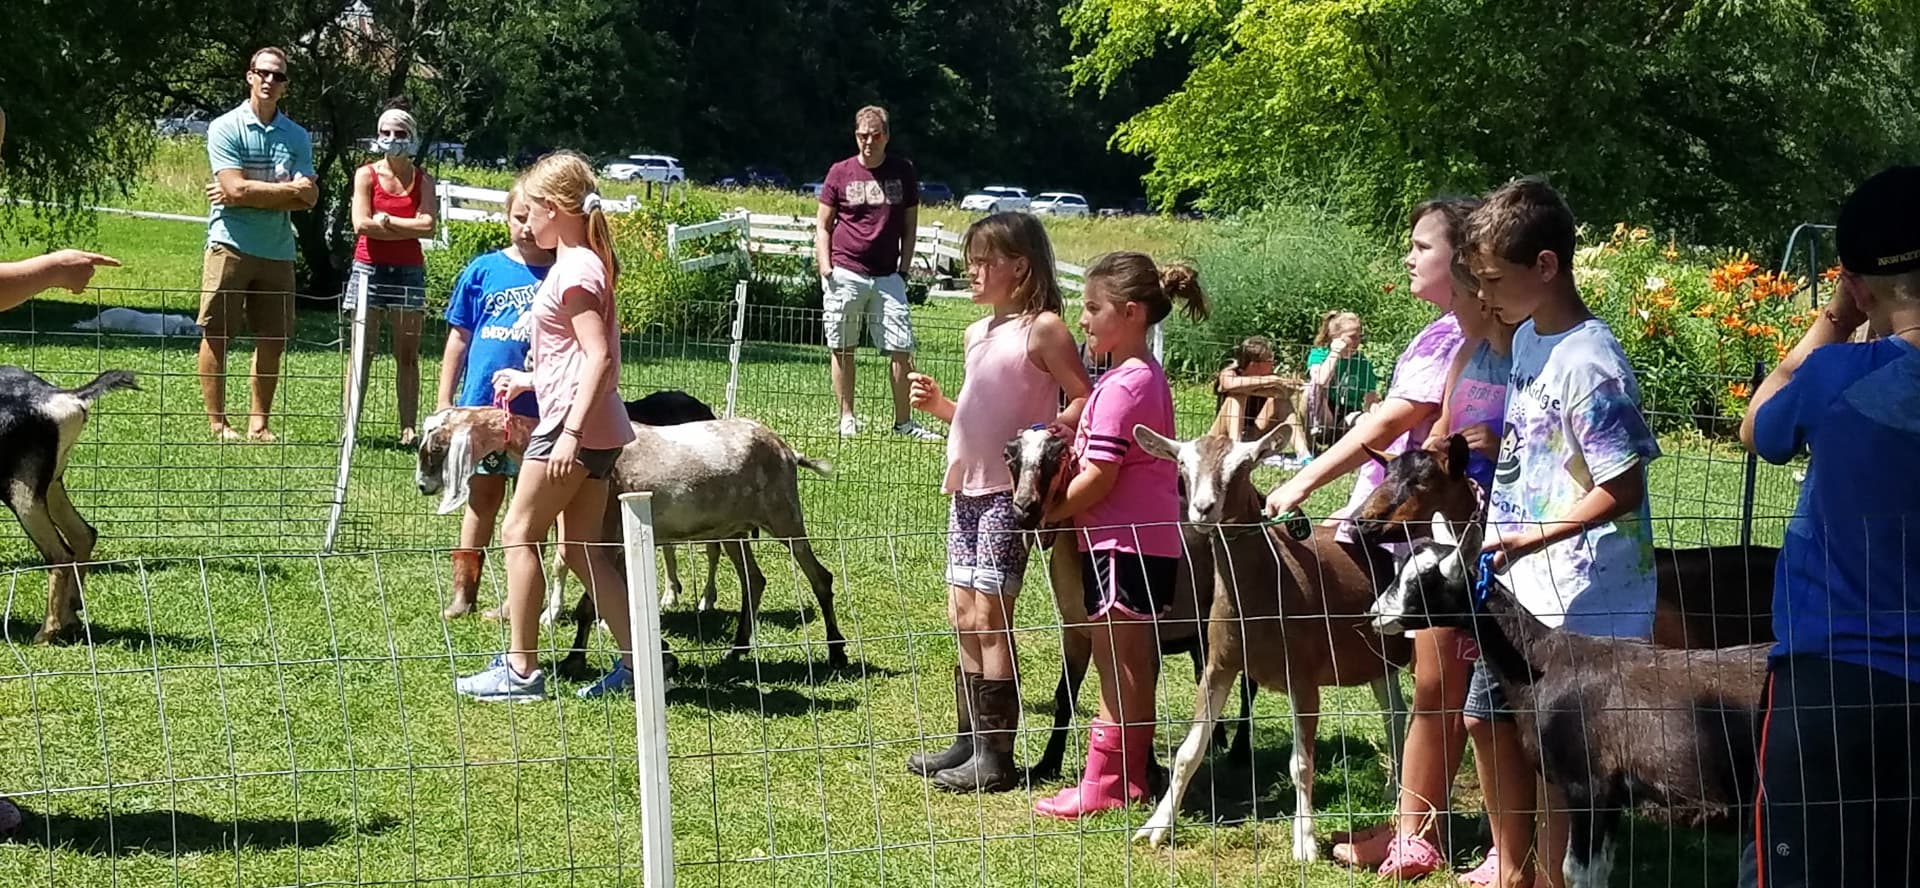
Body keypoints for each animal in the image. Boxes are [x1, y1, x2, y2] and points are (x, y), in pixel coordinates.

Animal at [0, 367, 139, 643]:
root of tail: (67, 398)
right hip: (52, 483)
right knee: (84, 533)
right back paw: (71, 616)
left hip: (23, 491)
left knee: (60, 553)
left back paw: (45, 634)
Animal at [418, 408, 846, 679]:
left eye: (435, 448)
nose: (422, 486)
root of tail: (786, 450)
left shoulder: (606, 539)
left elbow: (589, 606)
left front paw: (575, 661)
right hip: (733, 530)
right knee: (755, 580)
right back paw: (737, 651)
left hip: (783, 514)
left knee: (819, 577)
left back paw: (837, 652)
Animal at [1003, 427, 1256, 783]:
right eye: (1010, 457)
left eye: (1057, 455)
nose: (1025, 509)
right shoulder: (1075, 631)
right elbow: (1065, 695)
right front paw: (1047, 764)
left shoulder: (1144, 633)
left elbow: (1139, 699)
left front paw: (1148, 771)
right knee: (1203, 674)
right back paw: (1217, 740)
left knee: (1249, 686)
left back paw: (1239, 751)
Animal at [1130, 424, 1412, 859]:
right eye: (1182, 465)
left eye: (1243, 466)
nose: (1203, 509)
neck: (1269, 588)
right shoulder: (1219, 664)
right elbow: (1188, 752)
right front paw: (1156, 826)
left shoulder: (1304, 676)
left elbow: (1301, 763)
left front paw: (1306, 842)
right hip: (1378, 660)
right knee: (1396, 716)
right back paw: (1389, 791)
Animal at [1369, 513, 1768, 888]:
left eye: (1422, 581)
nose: (1375, 615)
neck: (1543, 663)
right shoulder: (1612, 796)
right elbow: (1600, 869)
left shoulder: (1587, 785)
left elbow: (1576, 872)